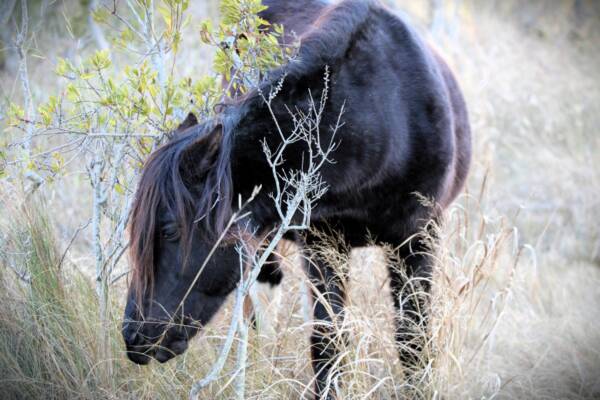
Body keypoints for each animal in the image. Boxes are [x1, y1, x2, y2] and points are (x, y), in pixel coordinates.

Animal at [123, 0, 468, 396]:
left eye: (169, 230)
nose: (133, 337)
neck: (384, 114)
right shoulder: (322, 244)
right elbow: (327, 344)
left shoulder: (418, 240)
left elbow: (413, 341)